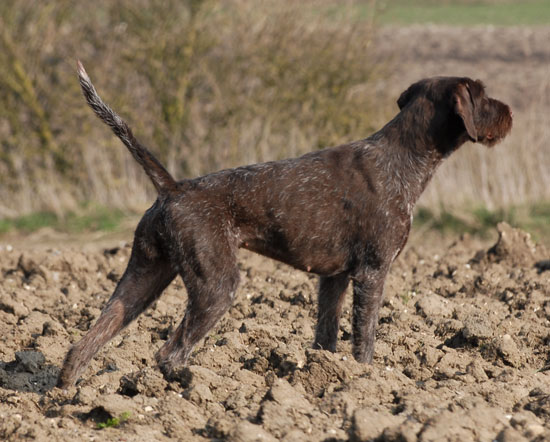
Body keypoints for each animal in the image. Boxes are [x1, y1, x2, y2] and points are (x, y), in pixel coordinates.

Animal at [56, 62, 512, 386]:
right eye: (482, 95)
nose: (509, 112)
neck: (404, 159)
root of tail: (173, 188)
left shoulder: (334, 277)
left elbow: (326, 336)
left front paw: (324, 376)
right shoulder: (372, 272)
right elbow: (364, 339)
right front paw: (367, 382)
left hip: (144, 275)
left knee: (85, 342)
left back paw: (65, 397)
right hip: (215, 284)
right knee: (169, 353)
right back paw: (199, 384)